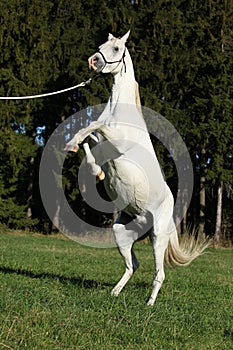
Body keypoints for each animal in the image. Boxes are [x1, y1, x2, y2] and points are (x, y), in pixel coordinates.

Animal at [65, 30, 208, 306]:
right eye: (101, 45)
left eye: (116, 48)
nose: (93, 62)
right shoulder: (103, 141)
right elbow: (89, 135)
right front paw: (91, 165)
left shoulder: (116, 141)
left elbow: (93, 126)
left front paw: (71, 145)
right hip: (122, 233)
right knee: (133, 265)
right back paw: (115, 292)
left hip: (158, 237)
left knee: (159, 273)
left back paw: (149, 304)